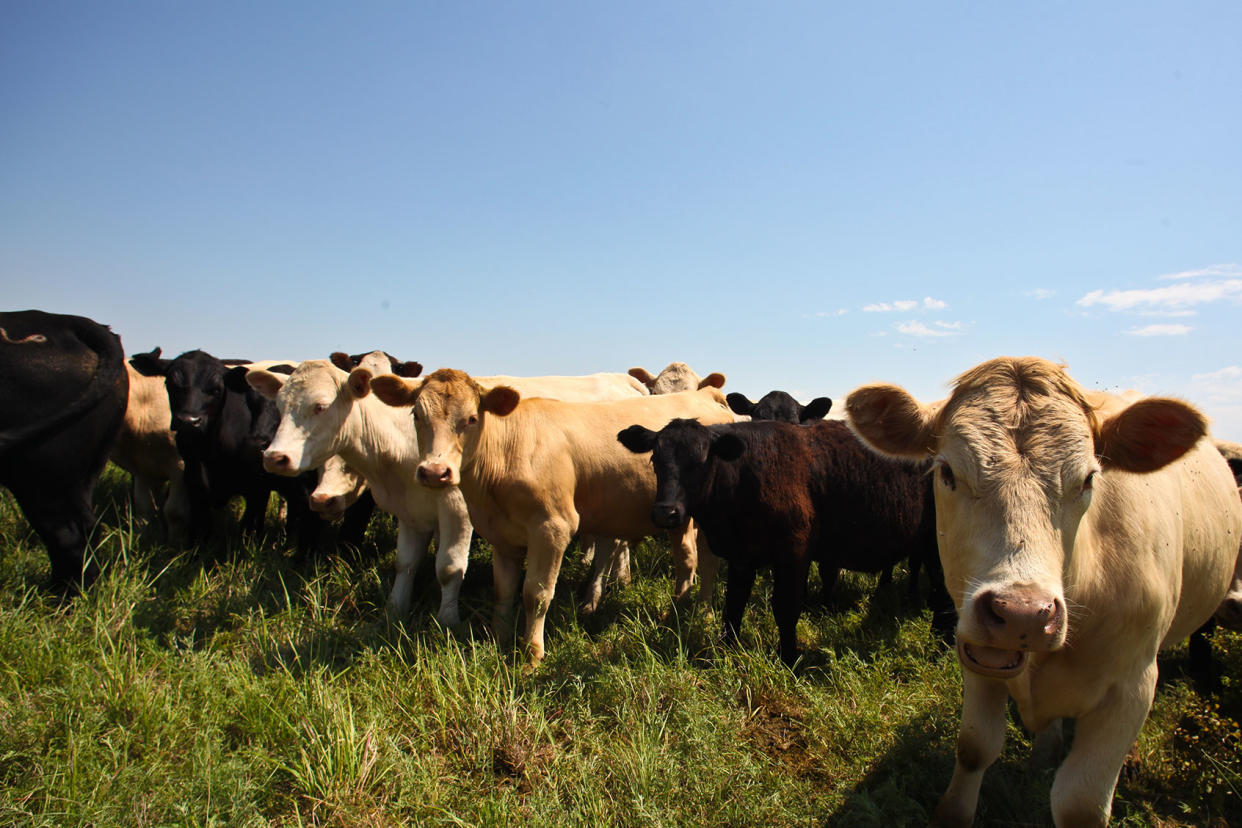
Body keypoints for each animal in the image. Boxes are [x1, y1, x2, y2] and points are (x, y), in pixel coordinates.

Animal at [128, 347, 322, 553]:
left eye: (216, 389)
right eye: (170, 384)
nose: (189, 421)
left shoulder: (256, 487)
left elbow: (248, 526)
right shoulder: (194, 481)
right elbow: (200, 527)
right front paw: (193, 554)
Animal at [367, 372, 735, 665]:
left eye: (471, 418)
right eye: (416, 414)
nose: (434, 472)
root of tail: (706, 396)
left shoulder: (552, 528)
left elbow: (537, 593)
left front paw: (532, 655)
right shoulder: (500, 532)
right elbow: (504, 589)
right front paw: (498, 639)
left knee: (699, 560)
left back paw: (690, 612)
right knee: (690, 558)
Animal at [844, 357, 1242, 828]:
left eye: (1088, 479)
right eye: (946, 472)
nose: (1022, 614)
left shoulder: (1132, 686)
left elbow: (1080, 803)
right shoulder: (977, 652)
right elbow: (974, 747)